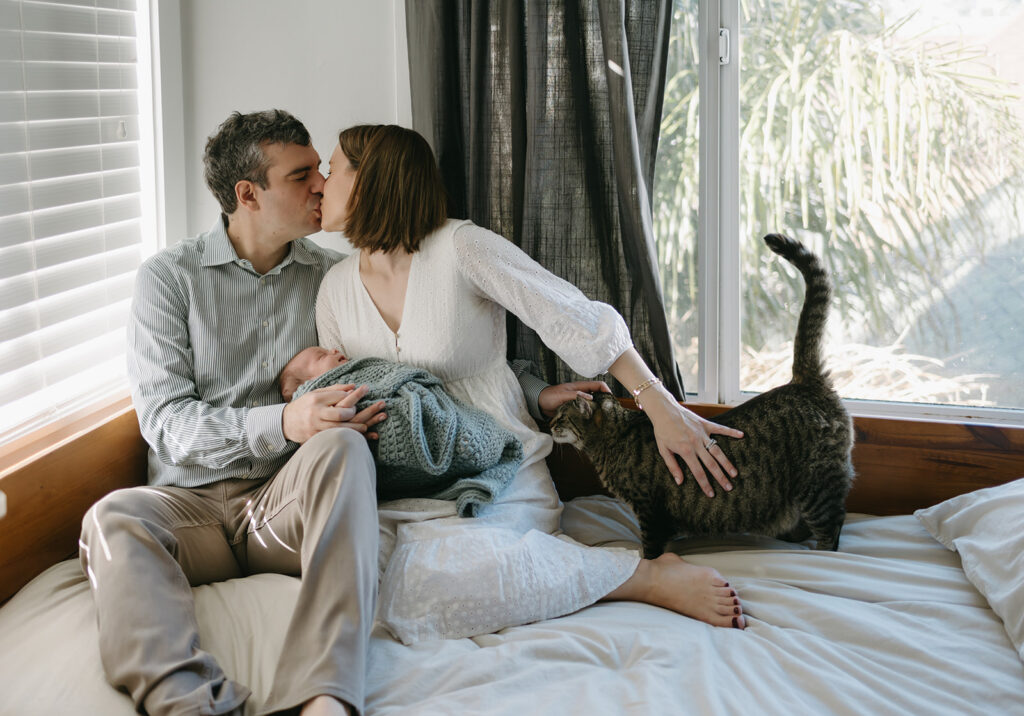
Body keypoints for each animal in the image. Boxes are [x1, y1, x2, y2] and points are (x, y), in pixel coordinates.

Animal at [552, 235, 856, 561]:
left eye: (560, 416)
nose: (548, 421)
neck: (614, 439)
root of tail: (803, 381)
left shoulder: (650, 513)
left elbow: (651, 550)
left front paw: (649, 564)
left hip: (818, 485)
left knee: (832, 526)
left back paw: (823, 554)